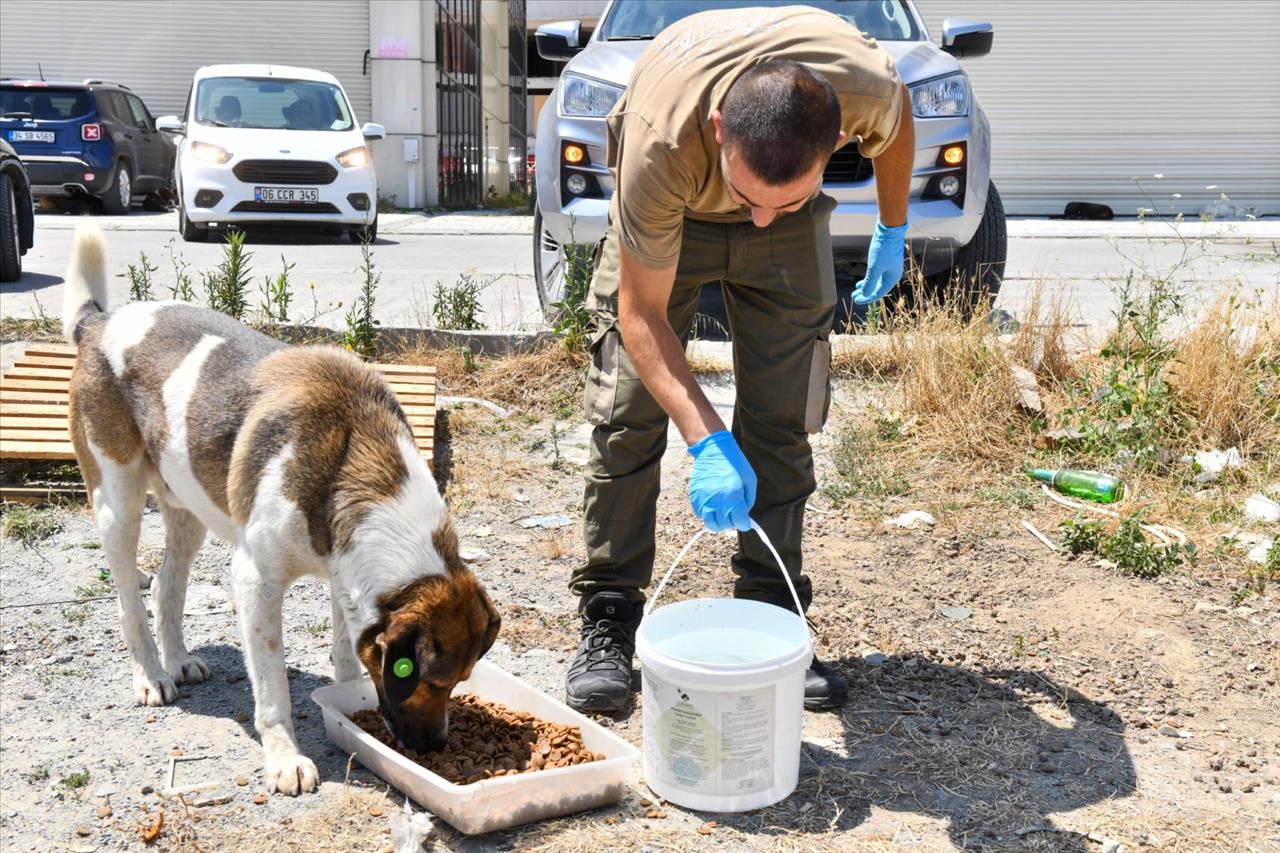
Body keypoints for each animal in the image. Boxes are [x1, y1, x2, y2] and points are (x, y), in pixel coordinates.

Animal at [63, 224, 499, 788]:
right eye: (435, 682)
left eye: (463, 681)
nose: (436, 746)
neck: (353, 457)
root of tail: (100, 321)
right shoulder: (256, 580)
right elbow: (272, 686)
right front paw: (284, 757)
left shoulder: (345, 573)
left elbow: (346, 651)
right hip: (117, 502)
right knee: (129, 599)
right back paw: (152, 675)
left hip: (189, 510)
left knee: (166, 585)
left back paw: (178, 659)